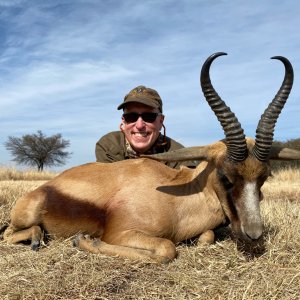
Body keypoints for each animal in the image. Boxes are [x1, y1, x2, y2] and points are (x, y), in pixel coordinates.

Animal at [2, 54, 300, 262]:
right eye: (226, 177)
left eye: (264, 177)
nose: (254, 235)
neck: (179, 200)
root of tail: (43, 188)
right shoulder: (122, 233)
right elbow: (167, 248)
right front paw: (85, 241)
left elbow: (205, 237)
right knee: (8, 234)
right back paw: (37, 239)